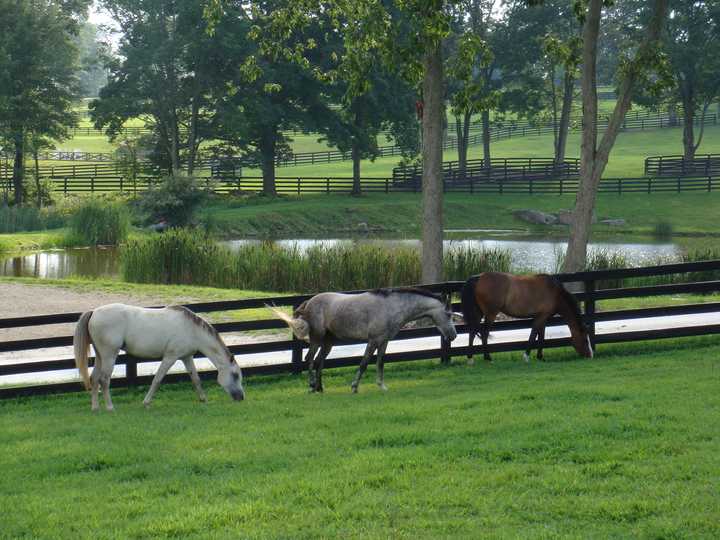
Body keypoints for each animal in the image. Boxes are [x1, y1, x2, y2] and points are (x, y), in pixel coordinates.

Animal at [74, 302, 245, 412]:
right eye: (235, 375)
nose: (241, 397)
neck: (191, 330)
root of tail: (94, 312)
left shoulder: (186, 357)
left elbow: (196, 379)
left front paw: (204, 400)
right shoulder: (170, 357)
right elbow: (157, 380)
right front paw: (146, 403)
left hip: (100, 356)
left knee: (94, 378)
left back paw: (95, 408)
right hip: (109, 355)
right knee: (104, 380)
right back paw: (110, 407)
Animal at [268, 286, 458, 392]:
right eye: (448, 314)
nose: (453, 335)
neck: (391, 307)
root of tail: (309, 302)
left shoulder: (384, 341)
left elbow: (380, 362)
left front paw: (382, 386)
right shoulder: (373, 340)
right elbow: (364, 363)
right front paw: (354, 387)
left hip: (328, 343)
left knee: (320, 361)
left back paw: (320, 388)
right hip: (317, 339)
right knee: (310, 359)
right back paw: (311, 386)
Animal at [464, 274, 592, 362]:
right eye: (585, 340)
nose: (590, 355)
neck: (555, 293)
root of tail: (479, 277)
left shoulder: (542, 317)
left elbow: (541, 336)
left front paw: (540, 357)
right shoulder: (542, 316)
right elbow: (534, 334)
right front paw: (526, 356)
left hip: (478, 313)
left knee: (472, 331)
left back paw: (470, 359)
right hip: (491, 314)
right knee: (484, 333)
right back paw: (488, 358)